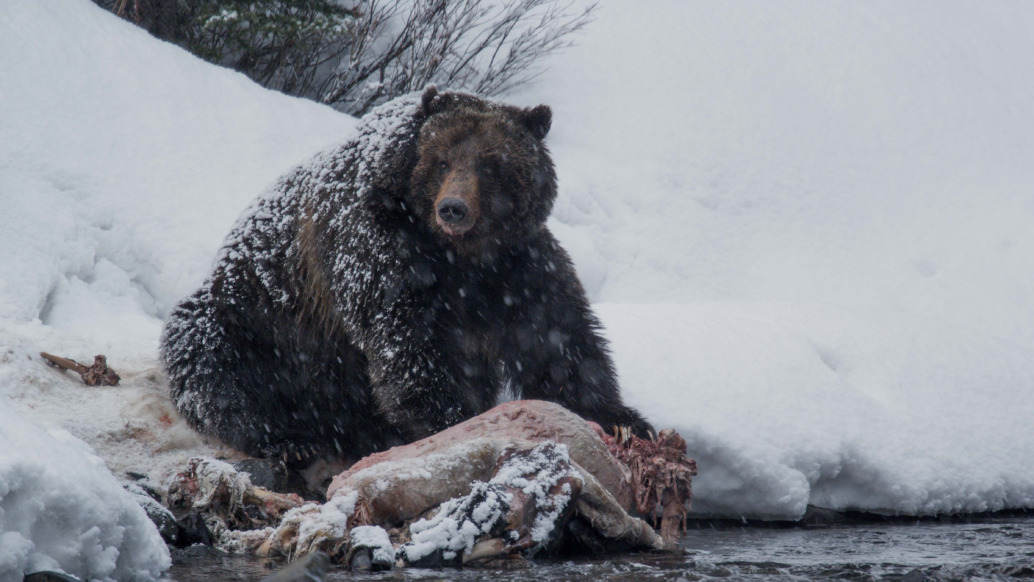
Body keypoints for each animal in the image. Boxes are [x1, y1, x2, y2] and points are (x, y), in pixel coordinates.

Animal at [161, 87, 653, 465]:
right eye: (442, 161)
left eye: (492, 164)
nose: (453, 208)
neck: (458, 256)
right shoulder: (379, 252)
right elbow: (406, 343)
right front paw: (456, 420)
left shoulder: (517, 266)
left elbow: (559, 341)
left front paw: (624, 420)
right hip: (253, 323)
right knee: (210, 365)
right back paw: (286, 440)